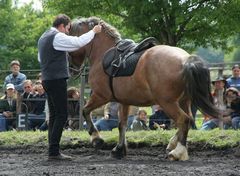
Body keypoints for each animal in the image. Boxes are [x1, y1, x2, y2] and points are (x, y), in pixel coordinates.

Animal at [68, 16, 218, 161]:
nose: (72, 69)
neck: (102, 53)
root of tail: (186, 60)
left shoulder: (100, 96)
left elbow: (85, 110)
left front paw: (96, 139)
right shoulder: (124, 101)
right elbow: (122, 124)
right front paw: (119, 149)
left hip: (167, 103)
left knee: (183, 120)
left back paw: (177, 152)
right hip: (183, 101)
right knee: (190, 119)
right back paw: (173, 144)